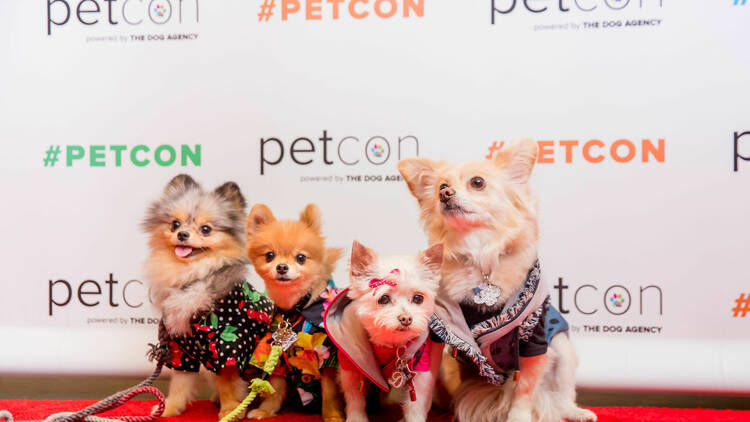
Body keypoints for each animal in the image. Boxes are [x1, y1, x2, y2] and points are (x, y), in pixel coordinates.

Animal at [245, 203, 346, 420]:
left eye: (301, 258)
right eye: (269, 255)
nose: (282, 267)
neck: (295, 309)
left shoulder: (327, 357)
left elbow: (329, 391)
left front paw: (332, 415)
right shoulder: (276, 354)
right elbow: (276, 387)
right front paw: (266, 410)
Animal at [324, 241, 446, 422]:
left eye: (418, 298)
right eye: (384, 298)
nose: (406, 318)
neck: (390, 343)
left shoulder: (421, 368)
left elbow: (416, 403)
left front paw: (413, 418)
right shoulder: (350, 368)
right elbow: (354, 397)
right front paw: (356, 418)